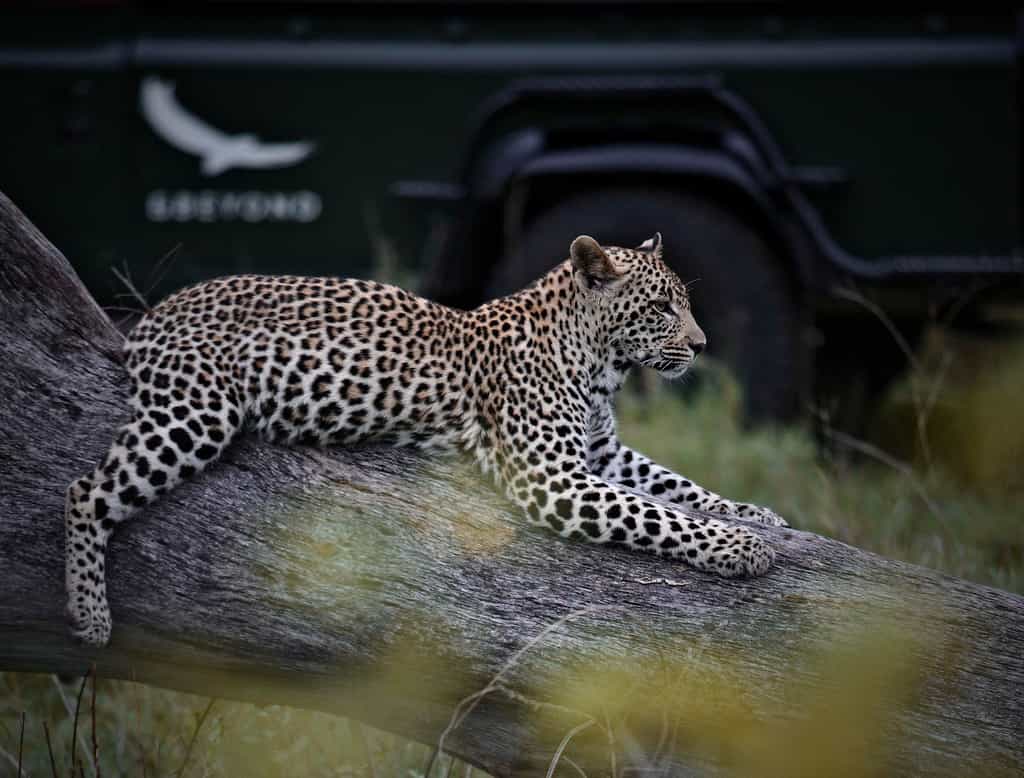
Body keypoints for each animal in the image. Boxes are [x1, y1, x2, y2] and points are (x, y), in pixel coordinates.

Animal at [64, 232, 788, 646]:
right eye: (661, 307)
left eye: (682, 303)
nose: (703, 346)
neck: (599, 367)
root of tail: (154, 313)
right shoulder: (552, 477)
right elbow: (656, 514)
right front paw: (740, 548)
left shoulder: (602, 453)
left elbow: (677, 485)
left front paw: (758, 515)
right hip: (195, 413)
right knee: (84, 490)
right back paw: (89, 617)